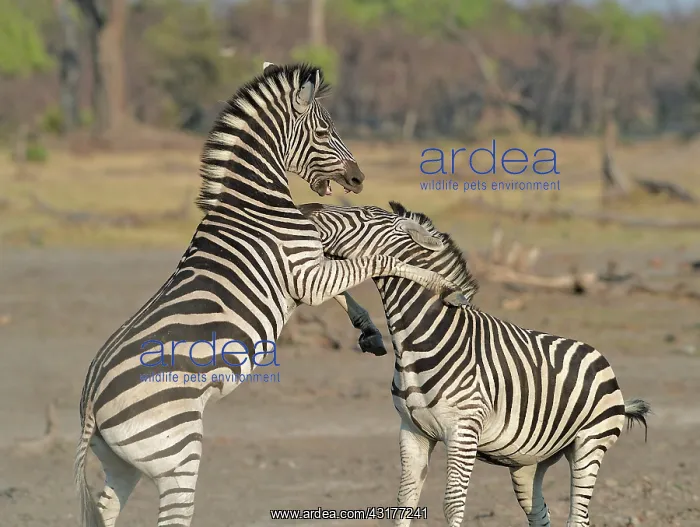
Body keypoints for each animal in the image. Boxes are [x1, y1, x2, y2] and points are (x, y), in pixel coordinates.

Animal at [74, 64, 471, 527]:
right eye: (325, 129)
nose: (358, 178)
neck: (255, 205)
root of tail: (91, 402)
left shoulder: (305, 273)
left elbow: (347, 275)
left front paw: (368, 329)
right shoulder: (305, 274)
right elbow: (375, 261)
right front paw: (440, 284)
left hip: (123, 464)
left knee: (106, 506)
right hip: (176, 452)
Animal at [301, 200, 651, 527]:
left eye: (363, 216)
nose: (306, 209)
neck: (419, 339)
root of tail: (599, 355)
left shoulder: (463, 432)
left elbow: (452, 505)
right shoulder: (413, 431)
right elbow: (404, 502)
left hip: (589, 445)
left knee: (578, 515)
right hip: (529, 462)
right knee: (541, 515)